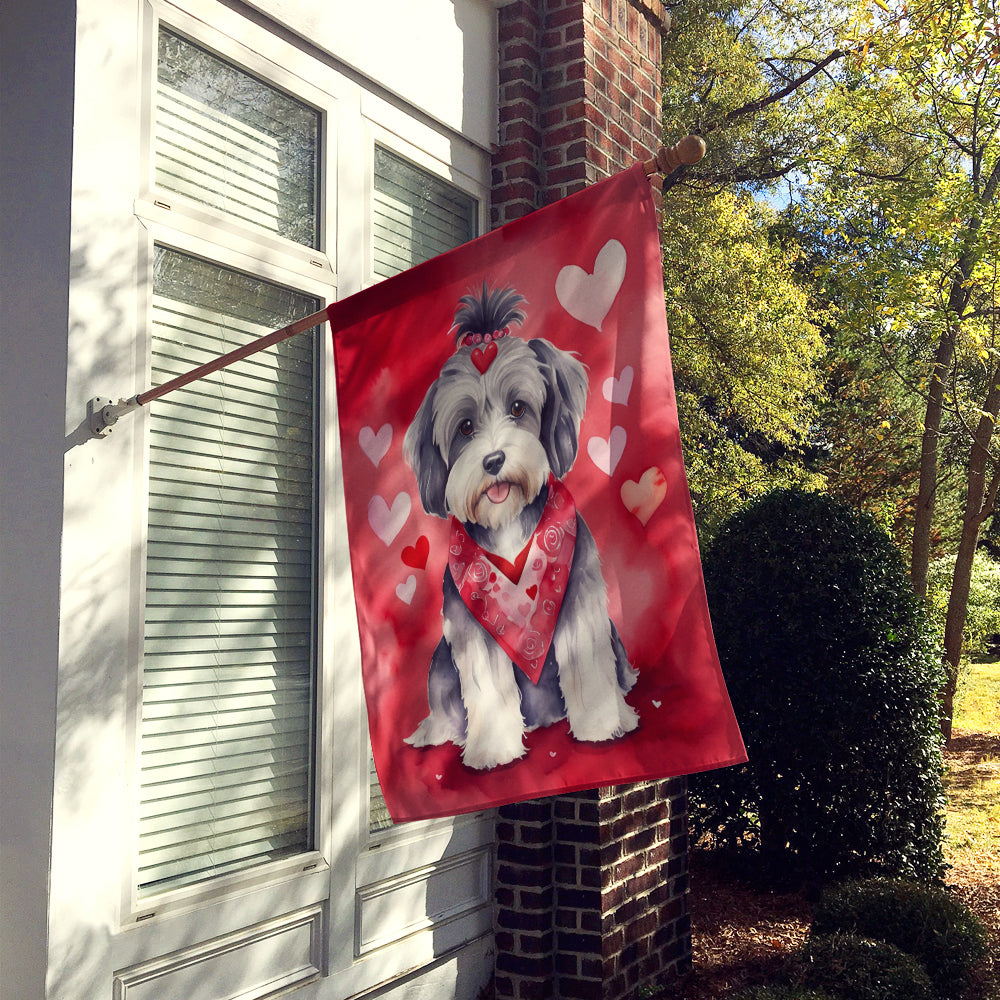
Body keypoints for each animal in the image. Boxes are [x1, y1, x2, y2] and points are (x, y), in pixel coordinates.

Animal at [402, 286, 636, 768]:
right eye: (465, 427)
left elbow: (588, 667)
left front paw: (601, 727)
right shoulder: (471, 627)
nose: (493, 460)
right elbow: (489, 689)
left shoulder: (578, 599)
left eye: (518, 407)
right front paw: (493, 750)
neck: (508, 526)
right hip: (440, 663)